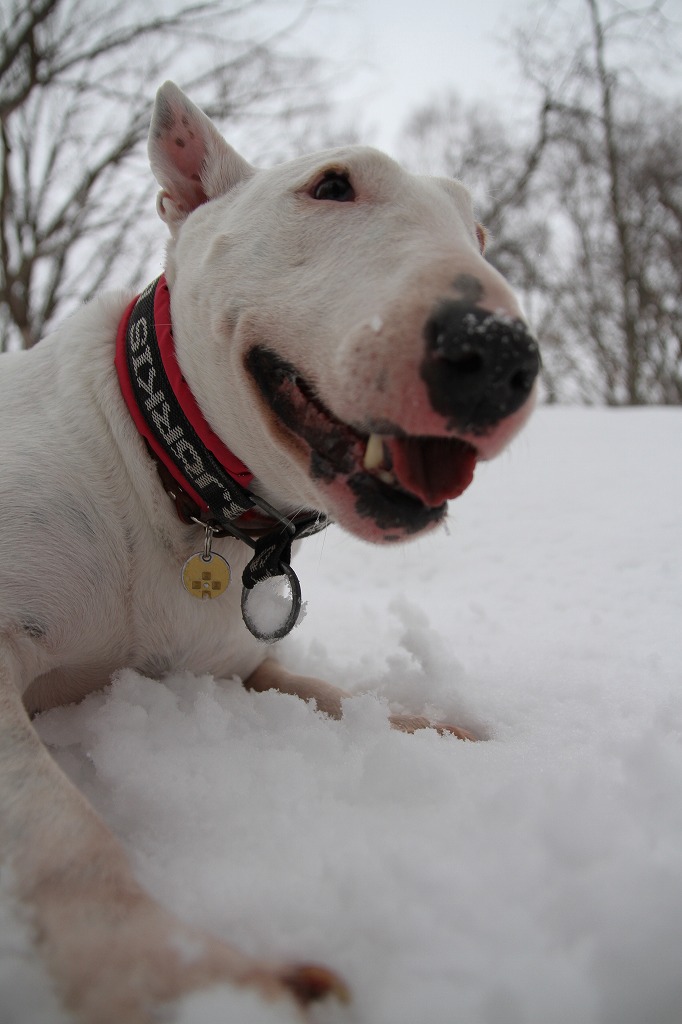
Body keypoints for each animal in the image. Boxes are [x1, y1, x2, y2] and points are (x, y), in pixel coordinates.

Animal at [0, 81, 536, 1024]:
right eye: (331, 186)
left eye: (476, 229)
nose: (500, 352)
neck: (173, 482)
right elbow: (60, 826)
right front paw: (184, 976)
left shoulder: (238, 668)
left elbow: (334, 693)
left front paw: (445, 731)